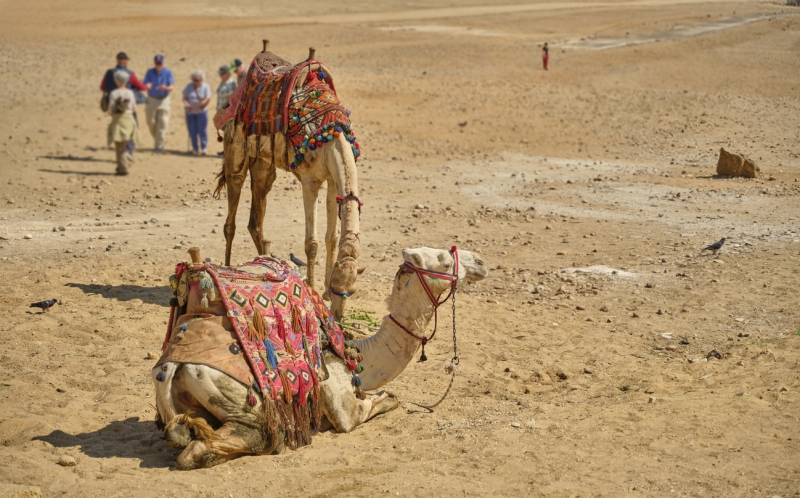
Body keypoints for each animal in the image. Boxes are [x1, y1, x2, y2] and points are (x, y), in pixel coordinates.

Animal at [152, 246, 488, 470]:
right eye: (445, 260)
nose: (481, 262)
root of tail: (171, 367)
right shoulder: (338, 397)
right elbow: (380, 403)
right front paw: (385, 397)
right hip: (238, 396)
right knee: (248, 437)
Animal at [213, 43, 362, 323]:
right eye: (339, 286)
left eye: (351, 289)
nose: (338, 316)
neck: (330, 135)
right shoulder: (310, 181)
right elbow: (312, 243)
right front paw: (313, 289)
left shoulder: (332, 181)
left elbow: (332, 237)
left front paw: (322, 291)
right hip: (235, 149)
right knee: (232, 211)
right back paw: (228, 269)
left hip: (263, 164)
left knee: (256, 215)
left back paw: (266, 261)